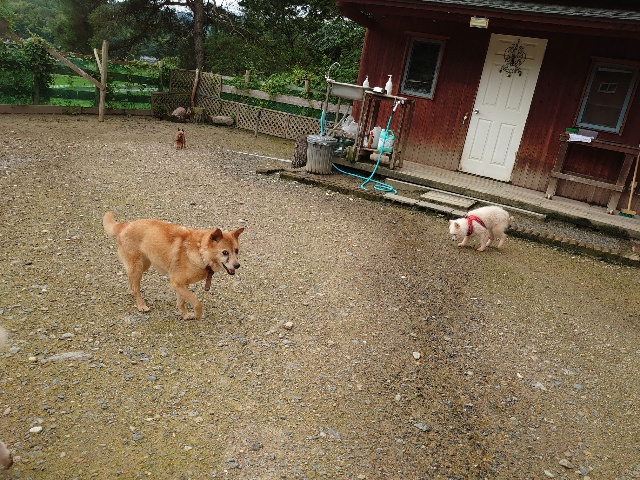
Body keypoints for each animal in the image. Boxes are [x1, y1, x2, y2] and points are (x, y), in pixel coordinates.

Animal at [103, 212, 244, 320]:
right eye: (225, 252)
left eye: (236, 251)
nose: (237, 265)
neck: (200, 251)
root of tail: (125, 225)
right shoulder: (177, 283)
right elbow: (196, 302)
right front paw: (197, 315)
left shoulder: (181, 285)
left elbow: (181, 302)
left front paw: (185, 315)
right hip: (137, 266)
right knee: (136, 287)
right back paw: (141, 305)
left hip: (144, 265)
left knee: (131, 281)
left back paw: (130, 291)